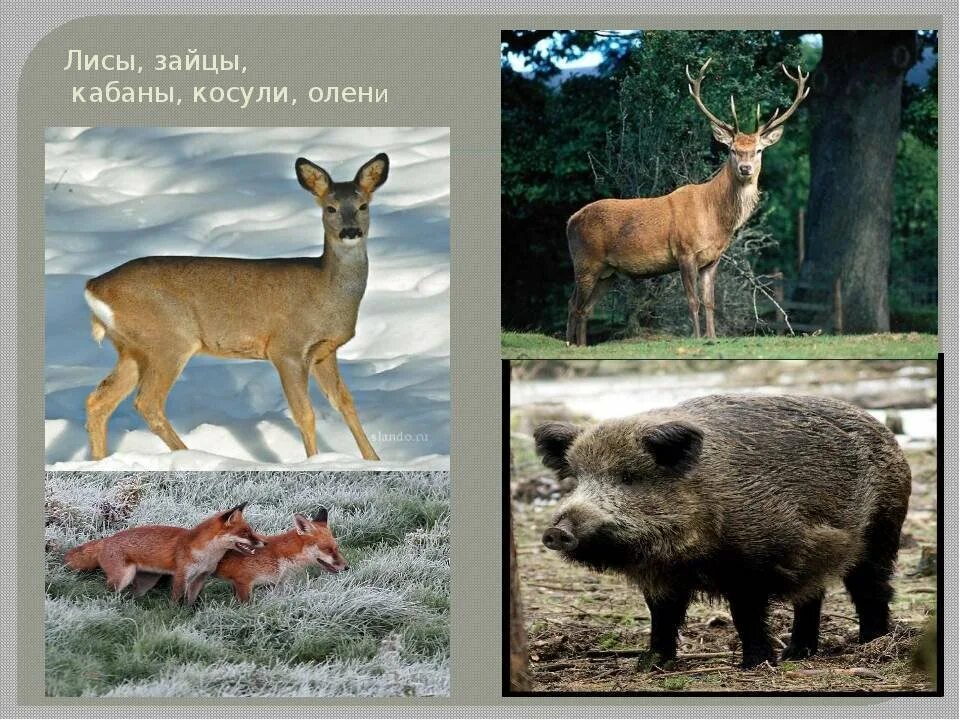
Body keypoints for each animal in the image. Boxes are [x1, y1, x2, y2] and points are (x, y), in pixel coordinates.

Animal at [83, 153, 390, 461]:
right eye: (330, 208)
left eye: (363, 206)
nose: (350, 232)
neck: (327, 291)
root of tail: (94, 286)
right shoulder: (286, 347)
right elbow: (305, 414)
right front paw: (315, 462)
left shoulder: (324, 352)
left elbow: (346, 403)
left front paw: (373, 460)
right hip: (169, 339)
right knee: (147, 402)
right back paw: (194, 455)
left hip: (133, 347)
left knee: (99, 399)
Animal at [565, 59, 809, 345]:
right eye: (732, 150)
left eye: (759, 150)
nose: (746, 168)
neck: (715, 219)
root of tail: (570, 221)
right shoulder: (684, 251)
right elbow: (693, 301)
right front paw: (696, 337)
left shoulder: (712, 259)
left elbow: (710, 302)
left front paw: (713, 337)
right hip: (585, 260)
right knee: (574, 304)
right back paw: (569, 343)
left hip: (608, 272)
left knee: (585, 308)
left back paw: (581, 346)